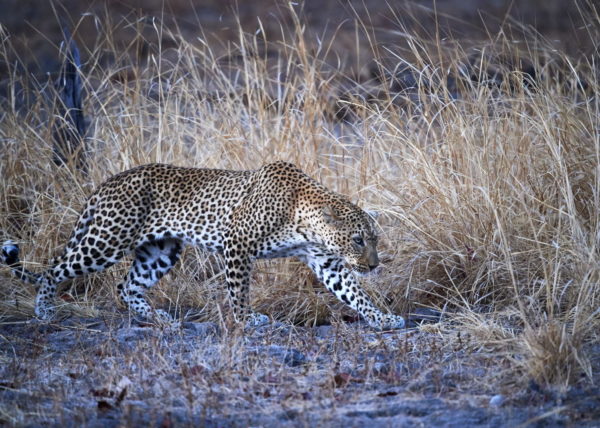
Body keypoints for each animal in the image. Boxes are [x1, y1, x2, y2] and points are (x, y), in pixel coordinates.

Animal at [1, 162, 404, 330]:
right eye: (358, 239)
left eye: (374, 240)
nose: (374, 265)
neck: (305, 221)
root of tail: (106, 183)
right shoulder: (237, 245)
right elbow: (238, 292)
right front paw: (247, 320)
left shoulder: (327, 262)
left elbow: (354, 293)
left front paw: (383, 318)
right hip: (106, 240)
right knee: (54, 270)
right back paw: (44, 311)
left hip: (161, 251)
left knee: (125, 285)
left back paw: (154, 318)